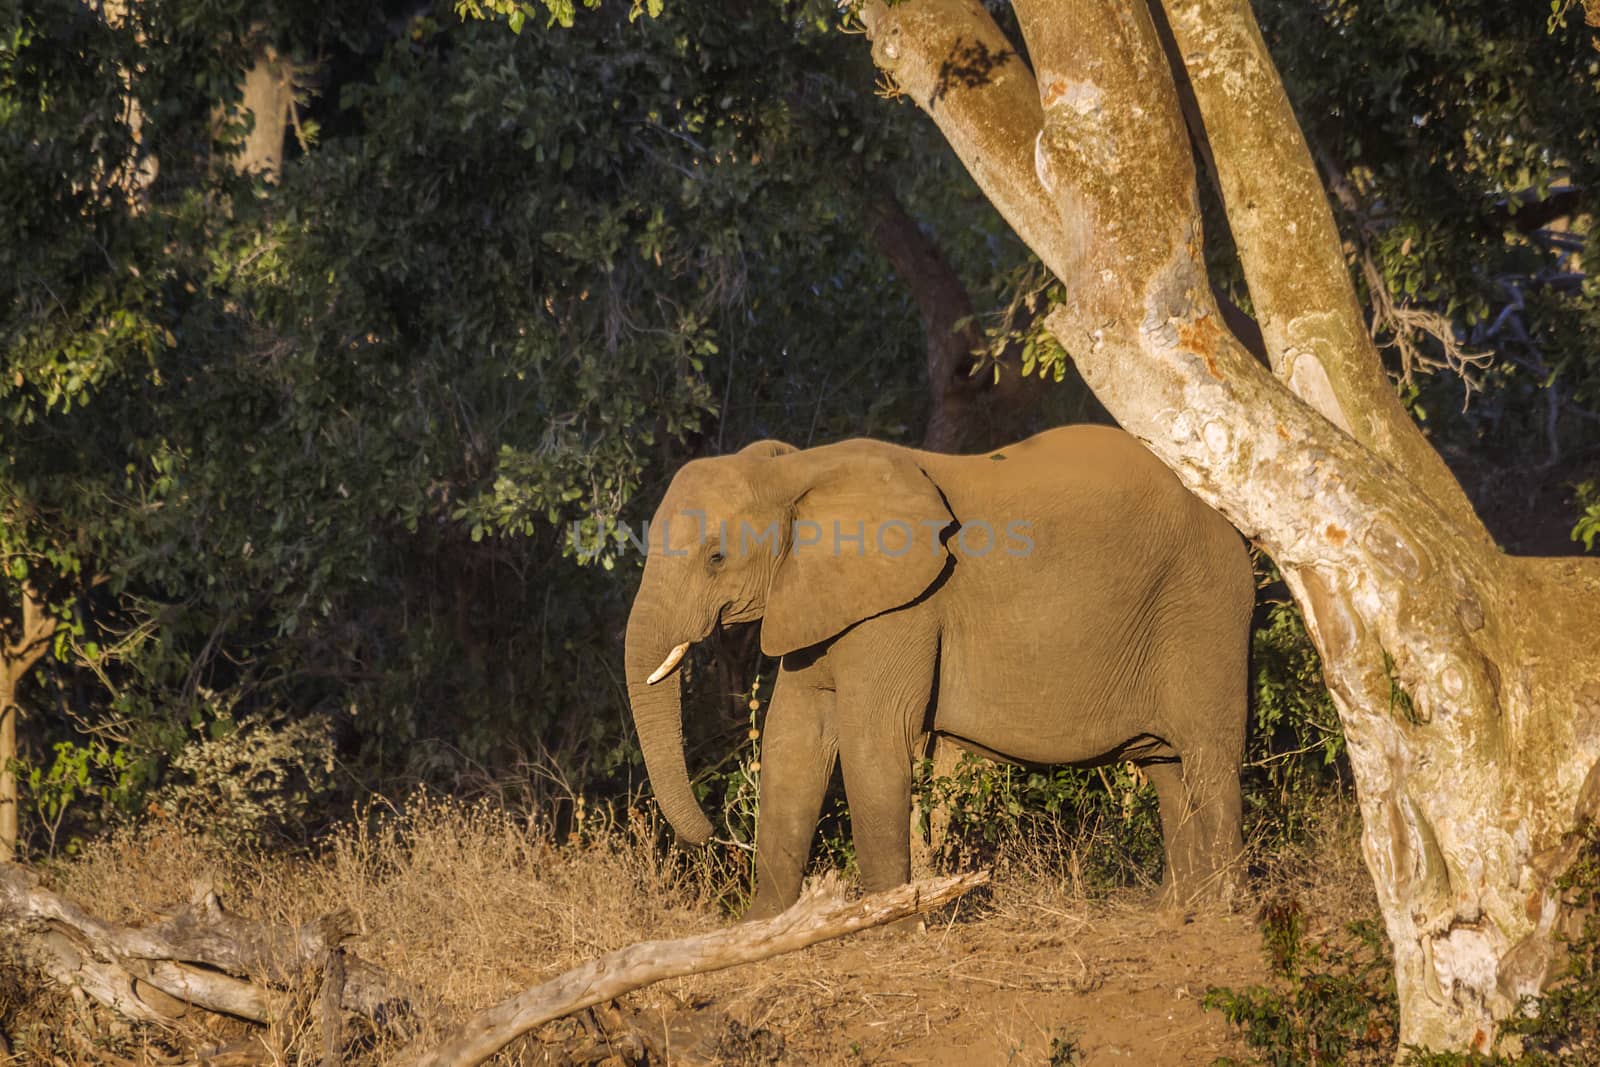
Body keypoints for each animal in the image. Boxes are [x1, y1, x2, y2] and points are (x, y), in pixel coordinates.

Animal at [617, 425, 1254, 921]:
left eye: (715, 557)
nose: (708, 833)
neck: (797, 471)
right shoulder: (813, 597)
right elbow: (793, 742)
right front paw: (762, 930)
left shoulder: (905, 604)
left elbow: (871, 742)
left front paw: (888, 927)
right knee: (1166, 768)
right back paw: (1175, 911)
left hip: (1205, 610)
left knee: (1209, 756)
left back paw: (1224, 910)